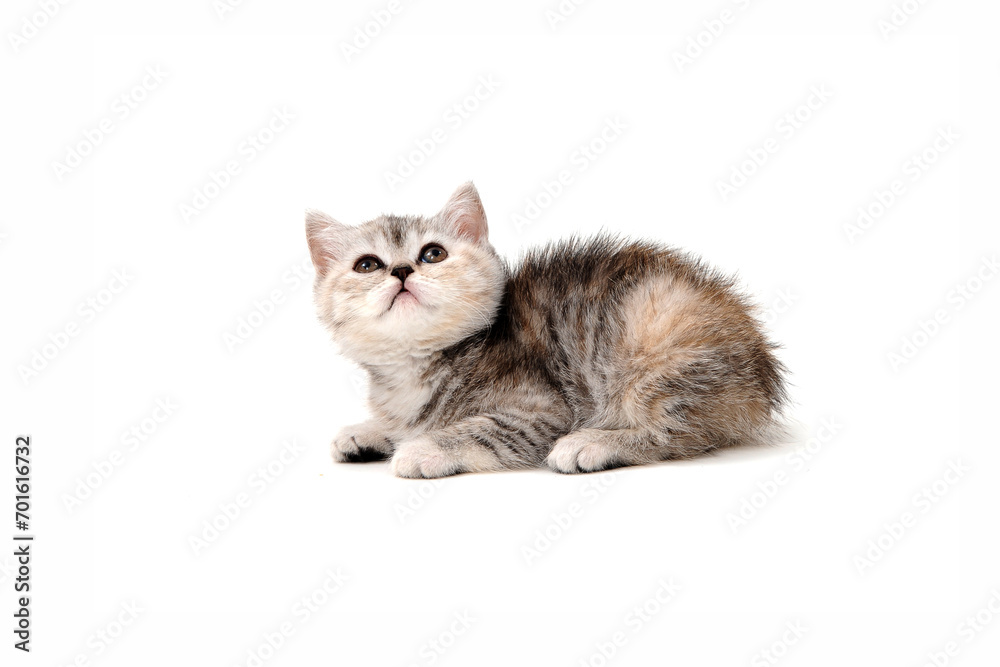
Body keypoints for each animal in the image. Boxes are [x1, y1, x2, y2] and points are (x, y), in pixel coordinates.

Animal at [304, 181, 788, 480]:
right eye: (367, 264)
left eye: (433, 253)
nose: (402, 270)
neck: (415, 366)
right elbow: (402, 421)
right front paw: (368, 430)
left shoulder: (542, 410)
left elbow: (481, 428)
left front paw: (424, 448)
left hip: (654, 343)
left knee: (680, 434)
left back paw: (593, 444)